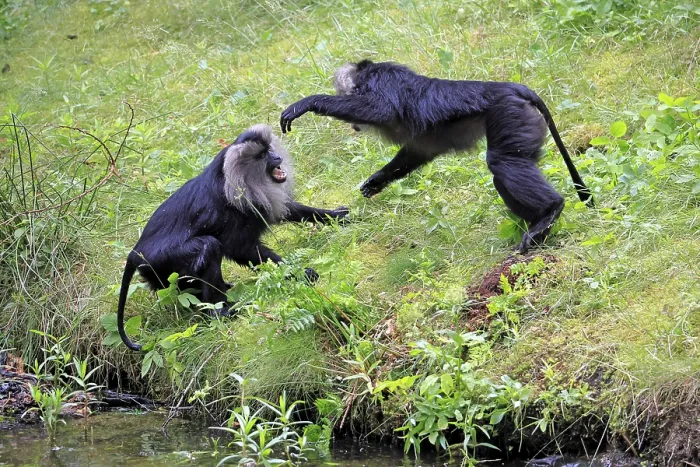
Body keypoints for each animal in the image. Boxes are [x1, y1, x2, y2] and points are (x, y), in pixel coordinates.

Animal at [116, 124, 349, 351]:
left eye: (269, 150)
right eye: (263, 155)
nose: (276, 157)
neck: (235, 180)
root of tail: (134, 254)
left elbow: (293, 210)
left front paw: (338, 216)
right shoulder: (234, 216)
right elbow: (242, 249)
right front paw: (298, 273)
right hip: (162, 260)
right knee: (209, 247)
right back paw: (220, 312)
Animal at [280, 60, 594, 253]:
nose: (353, 127)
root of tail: (511, 88)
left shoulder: (381, 81)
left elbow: (379, 110)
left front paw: (309, 103)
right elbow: (419, 150)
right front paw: (376, 181)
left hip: (509, 113)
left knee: (502, 163)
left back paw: (551, 210)